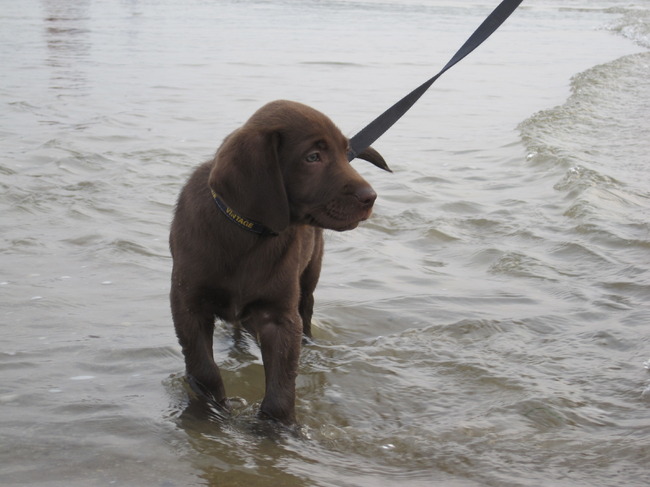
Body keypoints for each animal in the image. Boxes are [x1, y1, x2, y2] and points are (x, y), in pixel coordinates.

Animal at [169, 100, 389, 425]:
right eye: (313, 157)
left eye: (343, 151)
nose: (370, 198)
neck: (248, 233)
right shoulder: (188, 306)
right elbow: (203, 368)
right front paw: (210, 411)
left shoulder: (281, 316)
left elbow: (282, 383)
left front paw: (278, 427)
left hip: (309, 277)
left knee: (306, 314)